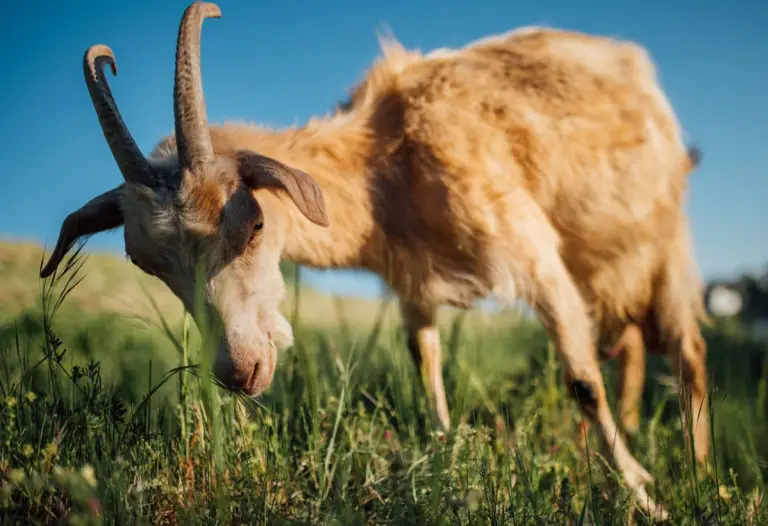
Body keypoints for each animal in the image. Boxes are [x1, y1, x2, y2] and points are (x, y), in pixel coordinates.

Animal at [40, 2, 709, 517]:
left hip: (665, 239)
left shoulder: (532, 249)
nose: (239, 371)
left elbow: (581, 380)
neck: (388, 160)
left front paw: (647, 499)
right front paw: (444, 464)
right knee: (631, 348)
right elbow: (427, 372)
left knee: (687, 352)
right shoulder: (414, 283)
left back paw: (699, 471)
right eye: (150, 265)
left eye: (254, 223)